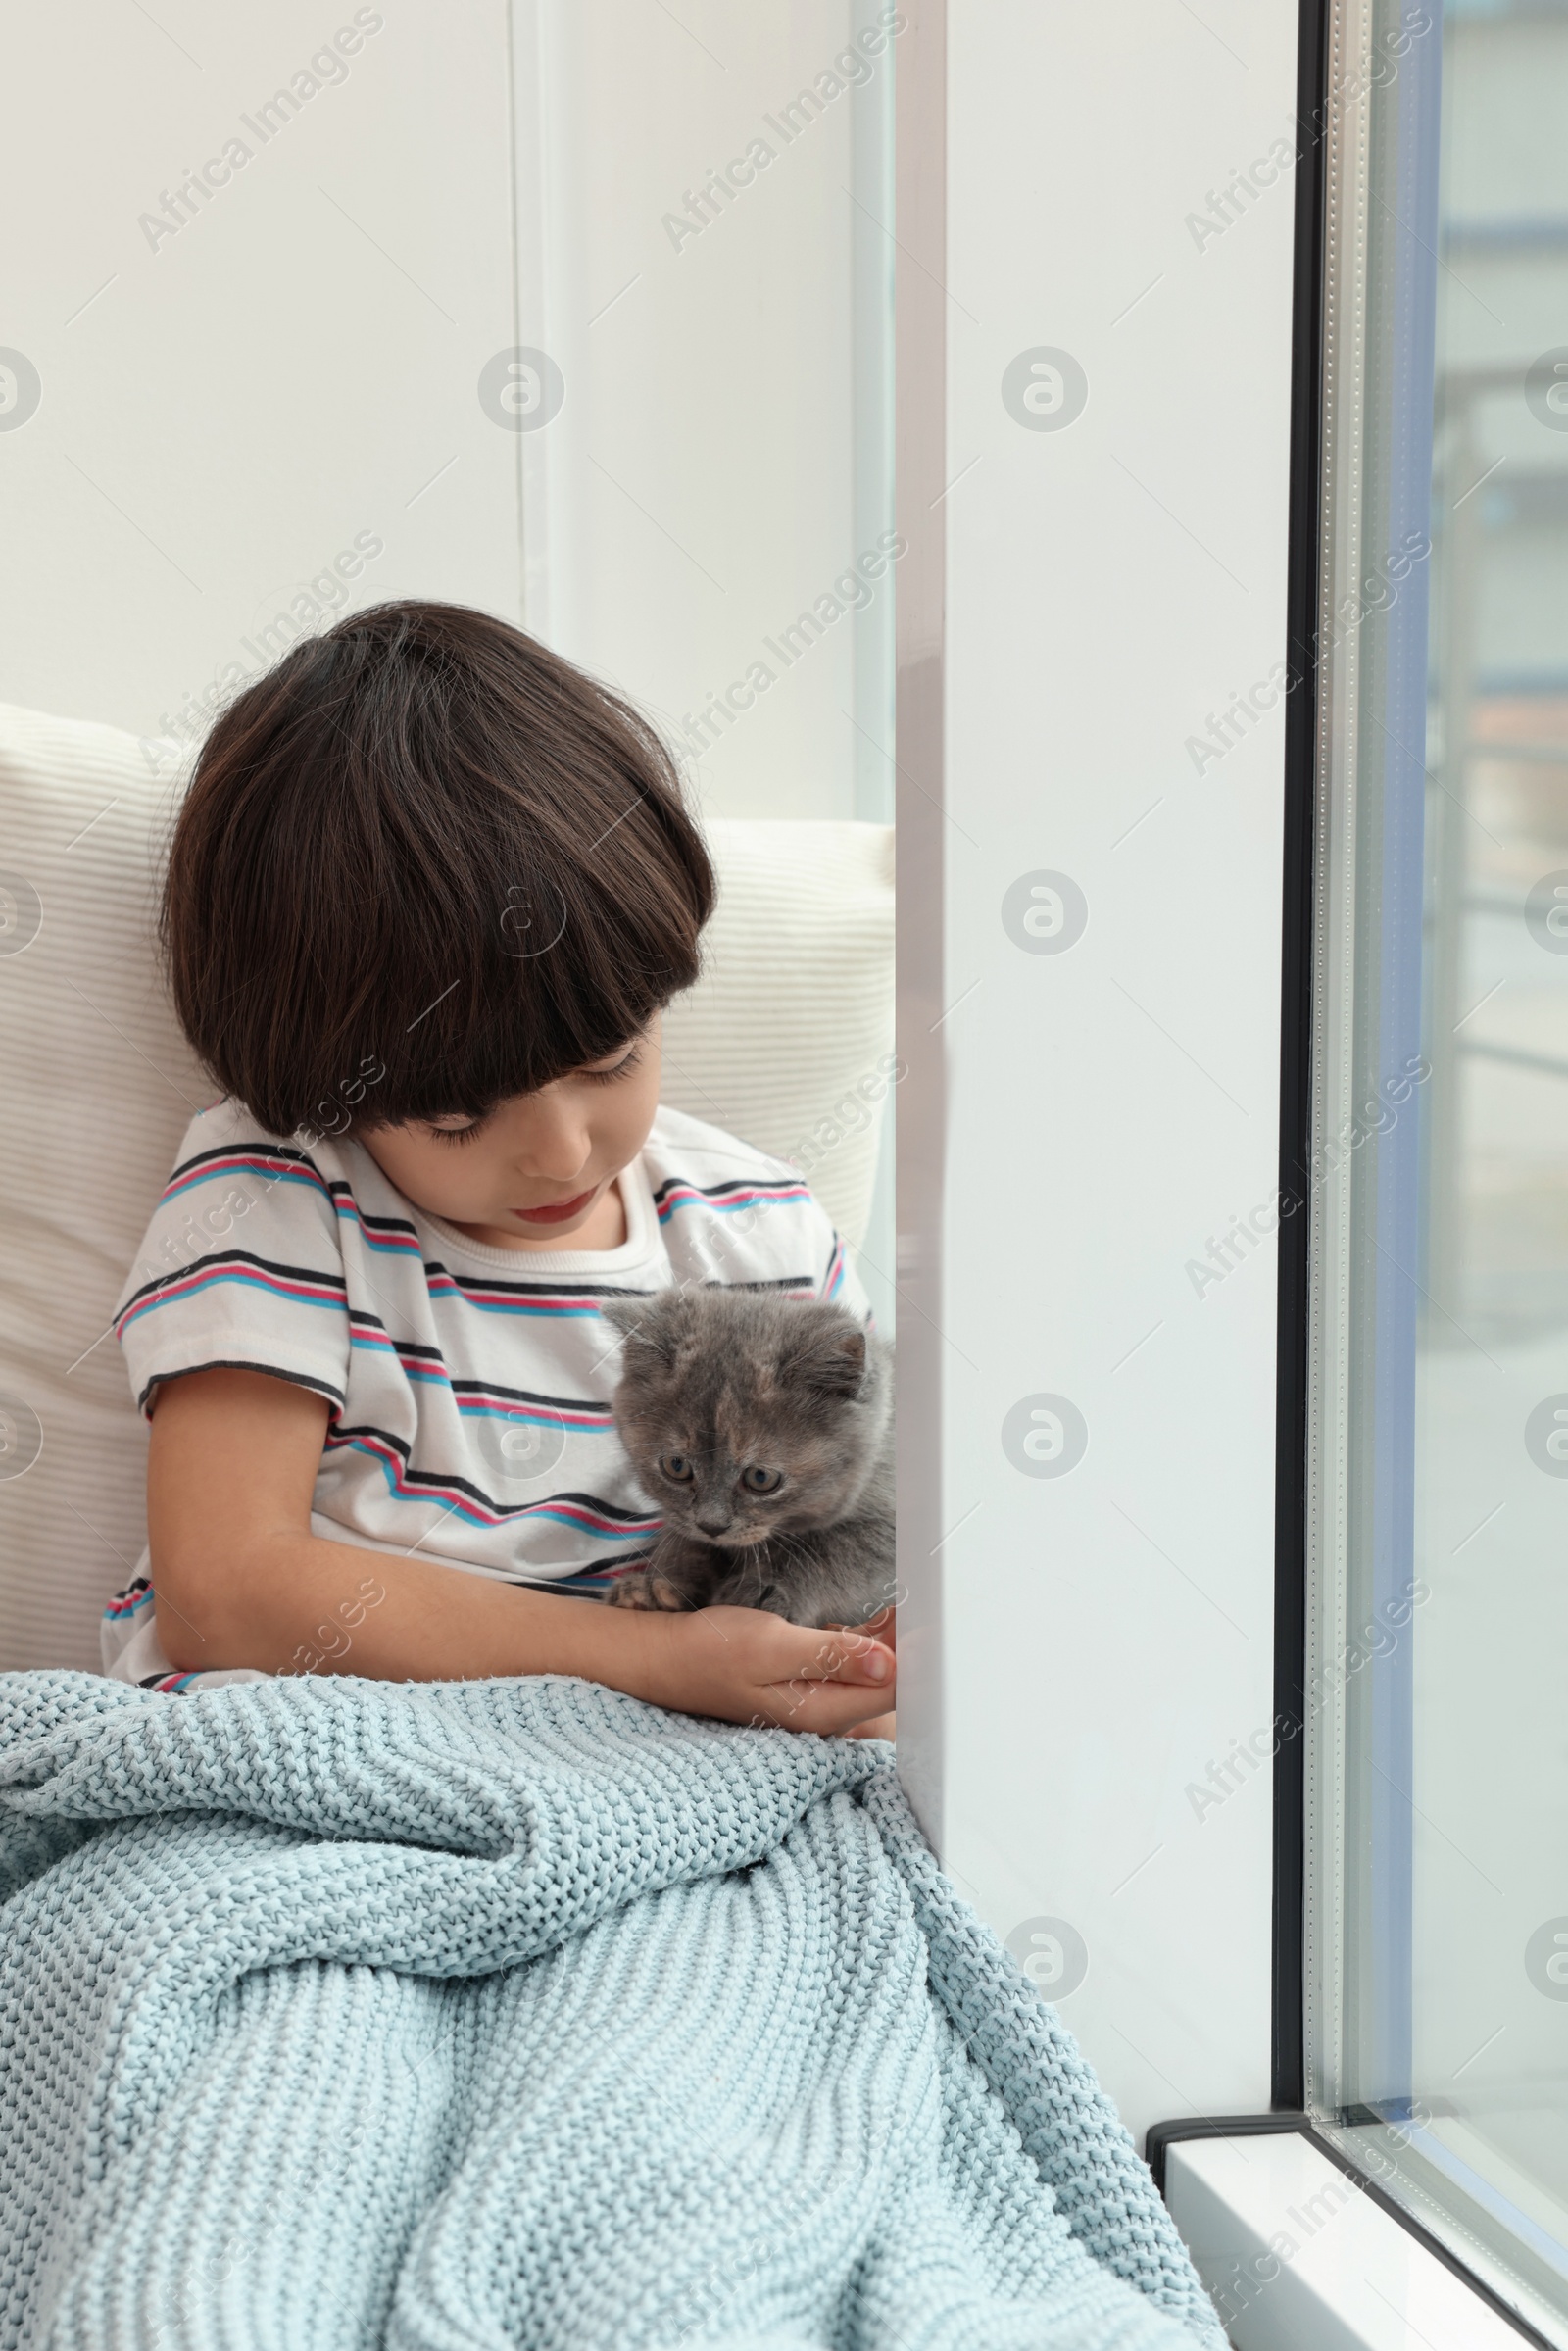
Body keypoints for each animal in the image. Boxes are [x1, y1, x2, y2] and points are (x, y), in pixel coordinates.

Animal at [602, 1288, 893, 1636]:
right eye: (676, 1467)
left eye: (761, 1478)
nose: (712, 1525)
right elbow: (683, 1539)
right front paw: (656, 1588)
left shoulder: (886, 1523)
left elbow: (835, 1553)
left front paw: (764, 1589)